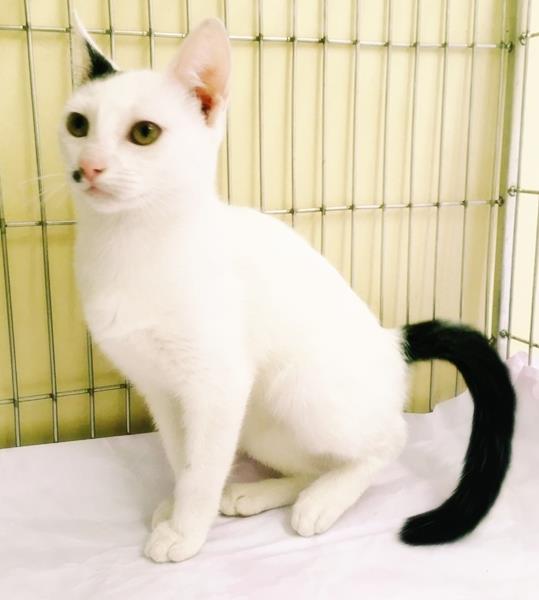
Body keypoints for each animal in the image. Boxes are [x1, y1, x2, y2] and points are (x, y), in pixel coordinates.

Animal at [59, 15, 516, 563]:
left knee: (389, 440)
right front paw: (176, 506)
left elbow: (201, 469)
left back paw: (324, 500)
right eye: (78, 125)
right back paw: (260, 493)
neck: (129, 247)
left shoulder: (218, 385)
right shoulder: (161, 390)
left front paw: (186, 529)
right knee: (315, 463)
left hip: (301, 391)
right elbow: (180, 455)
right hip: (260, 420)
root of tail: (391, 339)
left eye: (144, 133)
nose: (90, 166)